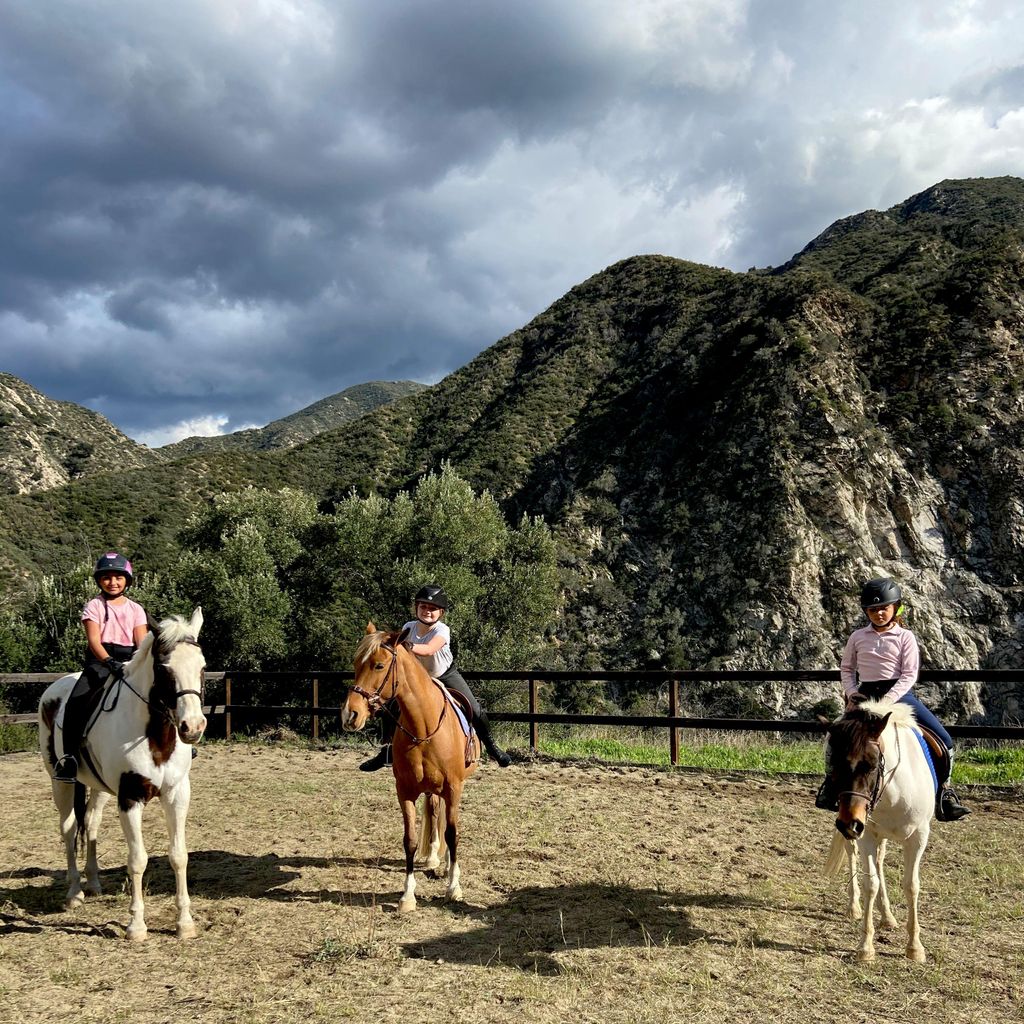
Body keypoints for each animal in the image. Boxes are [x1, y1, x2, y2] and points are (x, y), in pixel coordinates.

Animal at [37, 610, 207, 937]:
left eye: (202, 666)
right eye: (164, 669)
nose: (193, 727)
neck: (155, 735)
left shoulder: (177, 794)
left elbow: (179, 856)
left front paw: (184, 923)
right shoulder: (130, 798)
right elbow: (138, 860)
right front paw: (136, 926)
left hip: (100, 787)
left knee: (90, 823)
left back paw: (93, 883)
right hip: (59, 780)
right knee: (68, 828)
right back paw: (74, 892)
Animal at [337, 618, 477, 917]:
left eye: (379, 665)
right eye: (355, 663)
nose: (350, 715)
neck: (423, 726)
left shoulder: (453, 788)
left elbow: (453, 834)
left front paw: (453, 888)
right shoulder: (405, 791)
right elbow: (410, 839)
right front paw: (408, 896)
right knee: (434, 814)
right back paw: (433, 858)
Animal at [823, 696, 937, 958]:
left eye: (872, 765)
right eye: (833, 763)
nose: (849, 823)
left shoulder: (919, 837)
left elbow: (911, 885)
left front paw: (915, 947)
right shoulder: (866, 835)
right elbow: (870, 883)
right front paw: (865, 947)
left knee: (881, 861)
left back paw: (887, 916)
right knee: (853, 853)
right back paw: (854, 907)